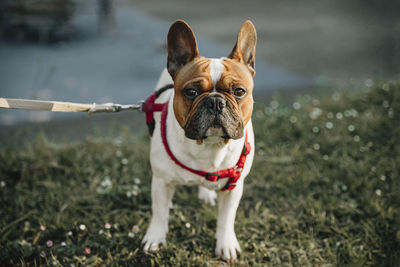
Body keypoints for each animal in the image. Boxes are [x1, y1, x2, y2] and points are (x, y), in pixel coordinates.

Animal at [142, 19, 258, 262]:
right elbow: (159, 213)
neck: (208, 146)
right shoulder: (161, 181)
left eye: (239, 91)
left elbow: (226, 219)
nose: (215, 102)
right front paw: (155, 238)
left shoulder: (234, 188)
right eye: (191, 92)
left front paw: (226, 245)